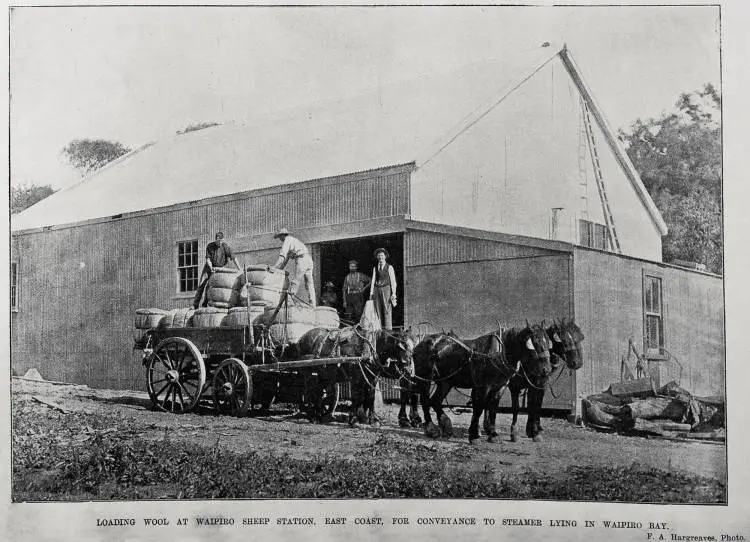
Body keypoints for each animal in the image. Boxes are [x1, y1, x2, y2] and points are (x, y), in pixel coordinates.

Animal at [412, 324, 552, 446]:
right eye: (534, 345)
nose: (547, 370)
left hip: (445, 382)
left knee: (435, 401)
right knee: (424, 401)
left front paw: (493, 434)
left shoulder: (499, 386)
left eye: (547, 344)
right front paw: (474, 436)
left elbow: (493, 407)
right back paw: (431, 428)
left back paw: (446, 425)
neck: (498, 353)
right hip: (425, 379)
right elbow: (479, 408)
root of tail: (421, 343)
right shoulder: (483, 386)